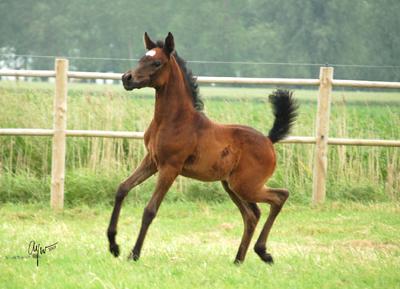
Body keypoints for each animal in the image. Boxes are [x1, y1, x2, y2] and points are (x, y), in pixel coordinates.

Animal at [106, 32, 296, 264]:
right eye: (141, 58)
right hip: (231, 186)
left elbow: (150, 210)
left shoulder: (170, 167)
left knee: (279, 197)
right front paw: (113, 245)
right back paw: (238, 260)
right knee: (252, 215)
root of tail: (269, 140)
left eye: (157, 63)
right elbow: (122, 188)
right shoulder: (151, 161)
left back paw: (263, 252)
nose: (127, 78)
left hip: (246, 185)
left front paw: (134, 254)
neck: (173, 120)